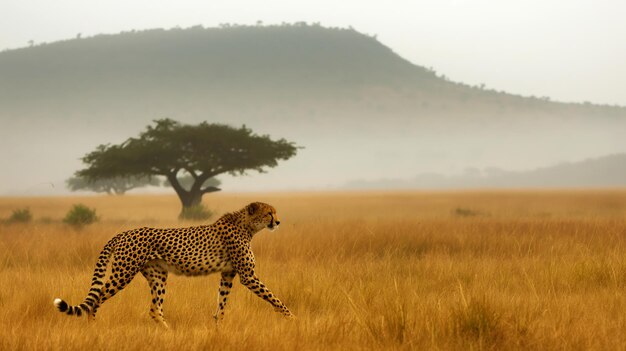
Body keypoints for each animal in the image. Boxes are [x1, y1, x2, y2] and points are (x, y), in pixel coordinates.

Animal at [53, 202, 292, 328]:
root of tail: (124, 232)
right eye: (269, 213)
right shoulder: (248, 276)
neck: (247, 227)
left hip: (158, 276)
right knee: (98, 297)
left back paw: (169, 332)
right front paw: (291, 318)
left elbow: (222, 302)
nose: (279, 222)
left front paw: (218, 325)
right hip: (123, 272)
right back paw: (92, 325)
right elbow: (273, 297)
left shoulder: (227, 274)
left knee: (154, 309)